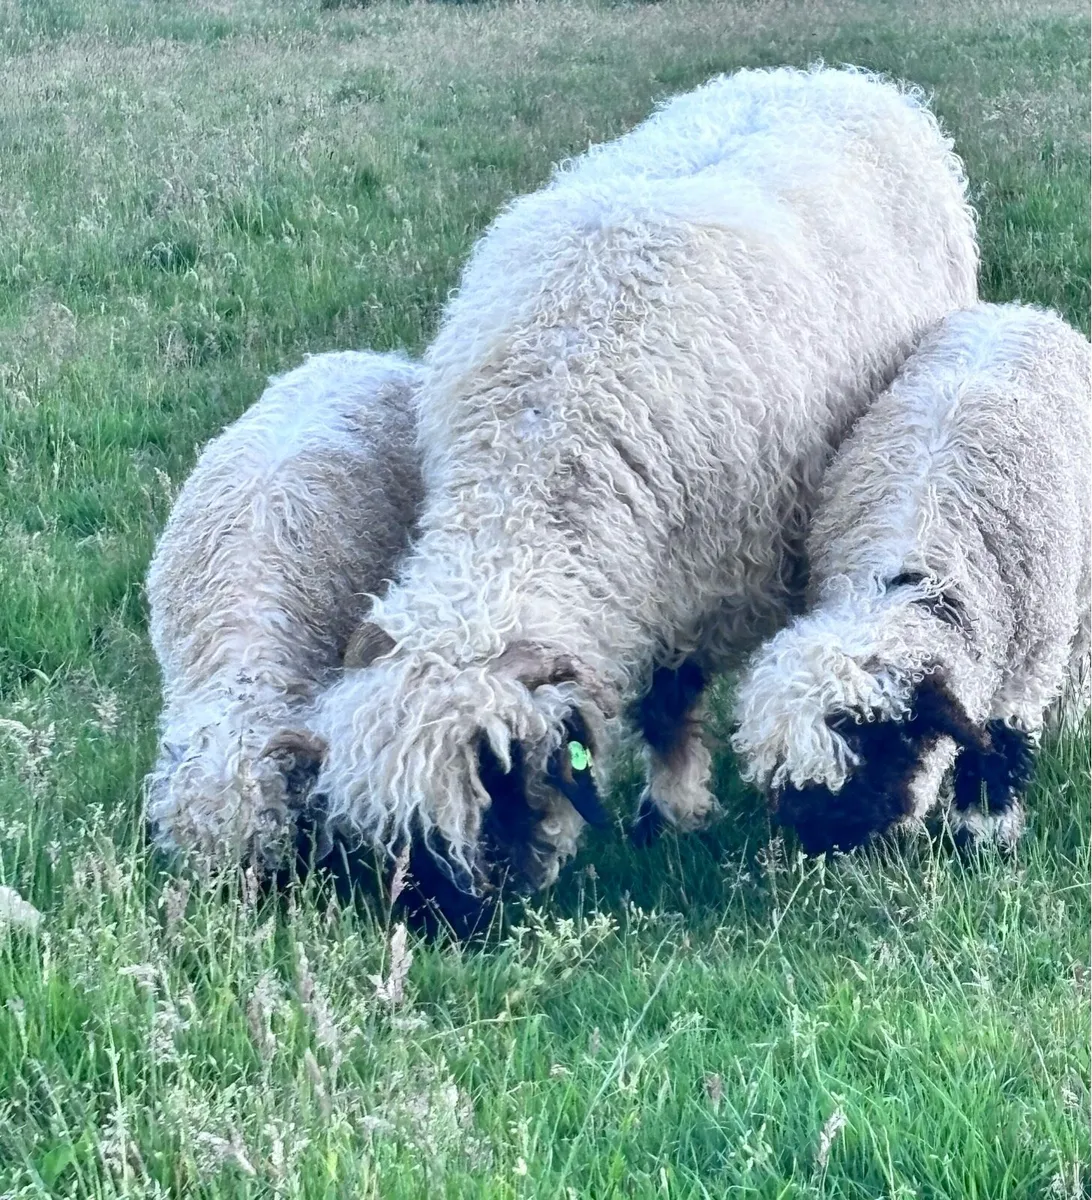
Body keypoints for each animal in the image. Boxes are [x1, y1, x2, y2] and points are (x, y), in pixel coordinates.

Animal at [311, 65, 979, 900]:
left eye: (500, 786)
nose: (439, 924)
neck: (543, 440)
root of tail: (824, 75)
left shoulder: (700, 579)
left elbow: (669, 704)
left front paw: (668, 814)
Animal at [731, 303, 1090, 855]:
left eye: (883, 742)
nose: (831, 841)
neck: (913, 569)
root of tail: (1014, 310)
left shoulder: (1032, 656)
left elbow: (1002, 736)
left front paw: (984, 829)